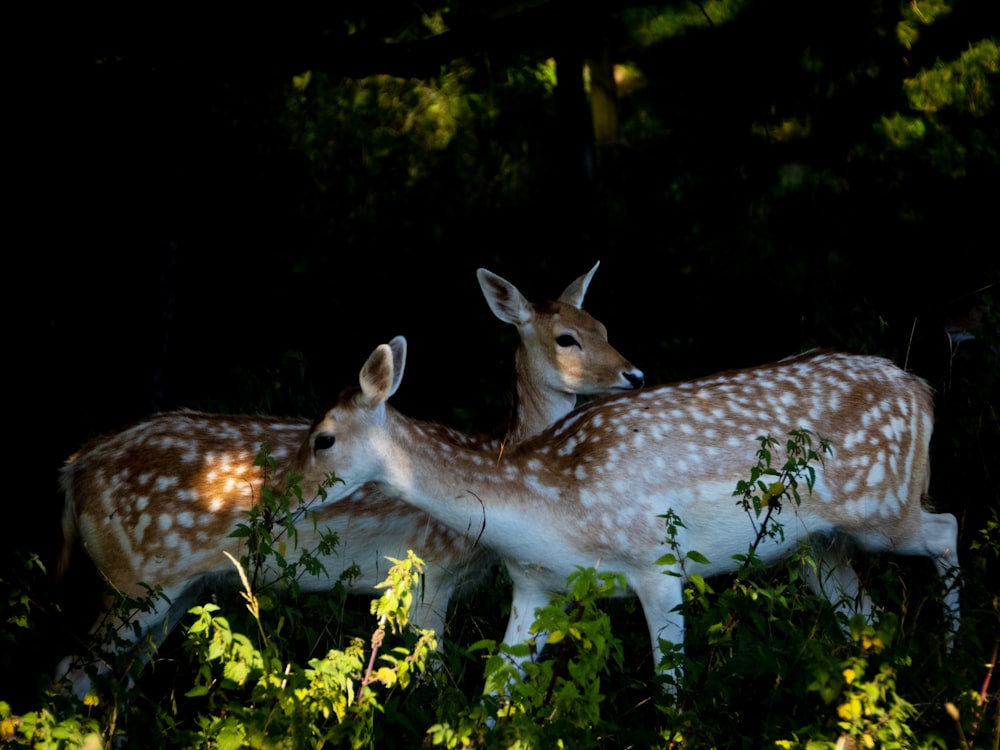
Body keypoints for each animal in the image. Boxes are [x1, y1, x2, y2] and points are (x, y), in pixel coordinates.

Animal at [54, 262, 644, 700]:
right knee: (70, 673)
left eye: (604, 329)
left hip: (177, 590)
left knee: (123, 679)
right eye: (567, 339)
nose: (634, 374)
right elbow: (433, 684)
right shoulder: (429, 570)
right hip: (133, 577)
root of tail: (73, 469)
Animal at [294, 338, 960, 696]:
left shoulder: (657, 561)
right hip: (819, 548)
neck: (546, 503)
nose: (282, 496)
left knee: (947, 528)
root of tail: (924, 391)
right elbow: (491, 694)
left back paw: (956, 661)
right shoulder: (536, 585)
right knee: (869, 616)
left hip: (886, 505)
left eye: (323, 438)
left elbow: (669, 688)